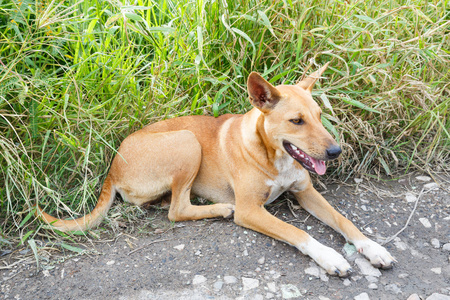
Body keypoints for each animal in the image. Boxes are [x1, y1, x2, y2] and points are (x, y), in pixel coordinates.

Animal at [39, 64, 398, 276]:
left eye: (320, 116)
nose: (336, 152)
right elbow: (298, 233)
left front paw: (373, 248)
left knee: (168, 204)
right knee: (177, 210)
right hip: (187, 142)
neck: (272, 156)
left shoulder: (306, 192)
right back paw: (220, 208)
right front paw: (330, 257)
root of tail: (113, 166)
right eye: (297, 121)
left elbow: (344, 221)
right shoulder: (251, 210)